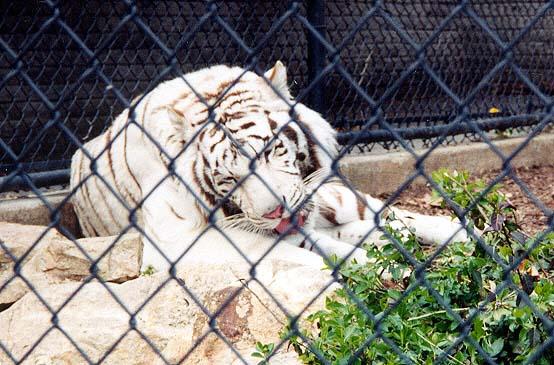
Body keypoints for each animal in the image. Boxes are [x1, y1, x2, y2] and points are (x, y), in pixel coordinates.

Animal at [69, 60, 466, 270]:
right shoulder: (177, 240)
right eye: (227, 179)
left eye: (270, 150)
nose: (274, 212)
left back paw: (460, 232)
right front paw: (372, 264)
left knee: (379, 213)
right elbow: (294, 250)